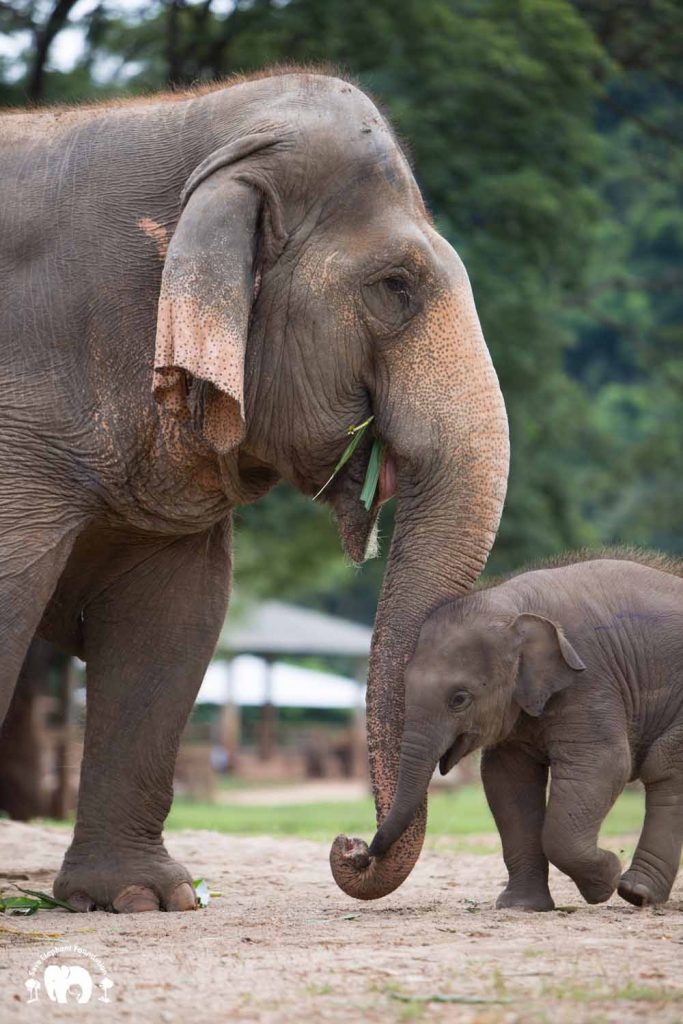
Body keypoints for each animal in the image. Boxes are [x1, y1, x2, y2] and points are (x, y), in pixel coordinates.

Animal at [370, 557, 679, 909]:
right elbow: (507, 781)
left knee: (665, 766)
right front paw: (521, 906)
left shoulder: (590, 681)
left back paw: (636, 892)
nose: (359, 850)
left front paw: (606, 878)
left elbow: (603, 764)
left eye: (459, 699)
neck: (514, 606)